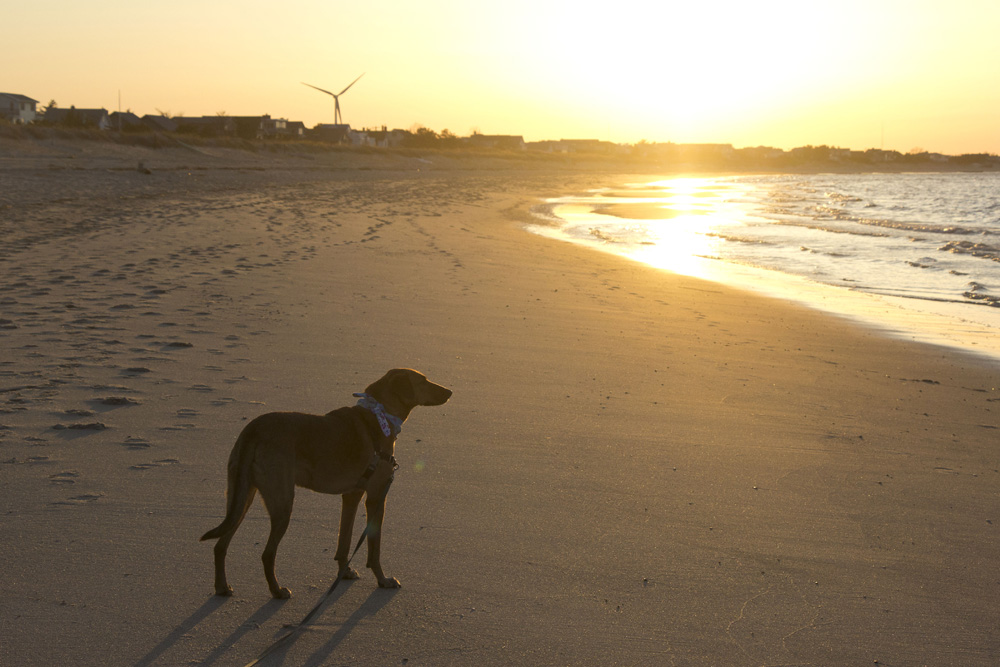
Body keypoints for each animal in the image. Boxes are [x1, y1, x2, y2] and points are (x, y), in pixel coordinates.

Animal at [201, 370, 452, 600]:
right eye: (423, 381)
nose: (450, 391)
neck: (379, 413)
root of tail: (254, 430)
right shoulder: (376, 497)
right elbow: (374, 549)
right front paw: (383, 580)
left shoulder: (352, 495)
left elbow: (344, 542)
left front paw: (345, 572)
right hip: (281, 502)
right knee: (267, 553)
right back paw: (277, 590)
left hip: (242, 495)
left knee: (221, 544)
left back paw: (222, 587)